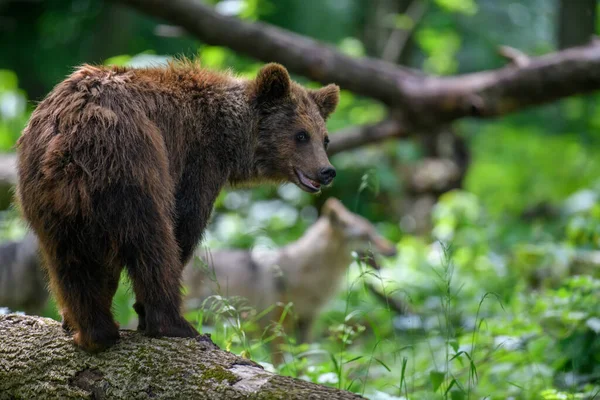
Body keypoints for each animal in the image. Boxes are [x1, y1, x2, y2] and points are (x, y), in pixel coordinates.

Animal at [16, 61, 340, 352]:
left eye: (325, 138)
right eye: (301, 135)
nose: (326, 171)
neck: (229, 139)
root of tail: (72, 133)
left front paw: (71, 321)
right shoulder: (195, 161)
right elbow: (185, 224)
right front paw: (144, 315)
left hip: (48, 196)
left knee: (66, 260)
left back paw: (92, 333)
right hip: (134, 164)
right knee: (153, 242)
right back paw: (175, 324)